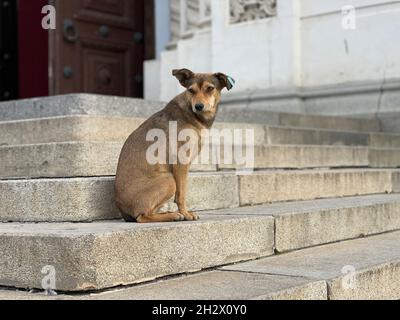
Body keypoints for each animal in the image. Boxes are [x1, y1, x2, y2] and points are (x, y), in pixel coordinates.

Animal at [114, 68, 233, 222]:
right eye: (191, 90)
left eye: (210, 88)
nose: (198, 106)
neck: (192, 114)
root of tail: (123, 211)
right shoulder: (181, 162)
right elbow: (181, 194)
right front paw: (186, 214)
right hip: (169, 180)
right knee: (142, 216)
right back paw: (174, 215)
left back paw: (169, 214)